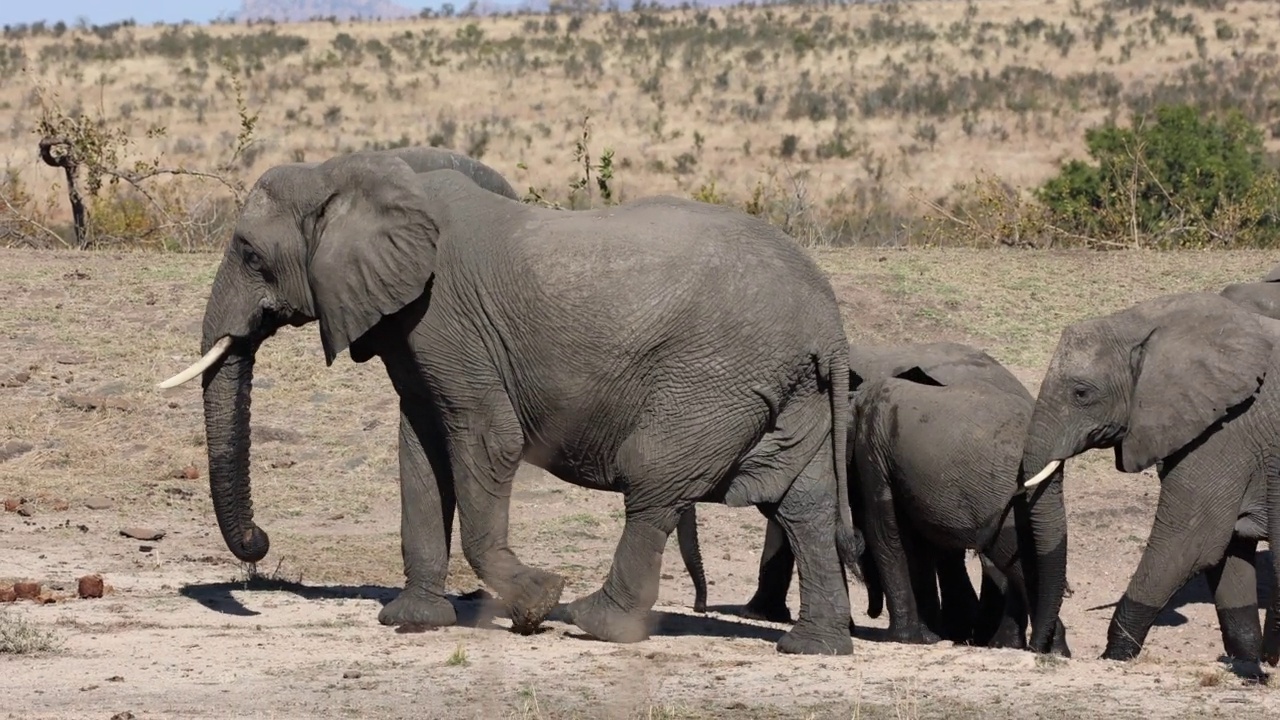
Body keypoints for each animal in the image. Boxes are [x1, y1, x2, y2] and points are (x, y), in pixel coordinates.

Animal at [157, 152, 860, 655]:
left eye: (250, 254)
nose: (260, 544)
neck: (349, 173)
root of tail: (828, 321)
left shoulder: (444, 317)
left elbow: (484, 437)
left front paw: (536, 605)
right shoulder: (410, 331)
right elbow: (422, 448)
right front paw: (414, 619)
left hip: (714, 379)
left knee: (656, 486)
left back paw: (589, 621)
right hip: (790, 389)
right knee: (806, 504)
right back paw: (812, 648)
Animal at [737, 338, 1075, 653]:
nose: (871, 611)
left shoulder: (872, 450)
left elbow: (884, 531)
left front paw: (907, 638)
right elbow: (908, 539)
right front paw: (926, 637)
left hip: (993, 493)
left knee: (1006, 555)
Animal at [1018, 288, 1280, 661]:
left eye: (1081, 393)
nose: (1041, 649)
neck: (1143, 323)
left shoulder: (1228, 431)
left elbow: (1191, 543)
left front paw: (1113, 657)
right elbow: (1228, 555)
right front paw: (1246, 660)